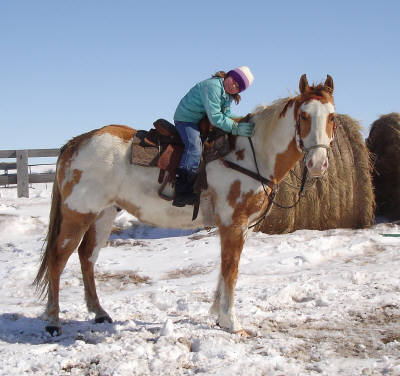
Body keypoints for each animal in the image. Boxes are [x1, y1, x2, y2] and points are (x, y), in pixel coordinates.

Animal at [34, 72, 336, 334]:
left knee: (87, 256)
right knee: (58, 259)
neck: (252, 154)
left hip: (103, 214)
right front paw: (231, 322)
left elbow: (224, 270)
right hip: (78, 214)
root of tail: (76, 143)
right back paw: (53, 321)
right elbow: (231, 270)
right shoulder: (233, 224)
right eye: (304, 115)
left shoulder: (241, 228)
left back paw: (99, 313)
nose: (318, 164)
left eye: (331, 116)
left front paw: (217, 316)